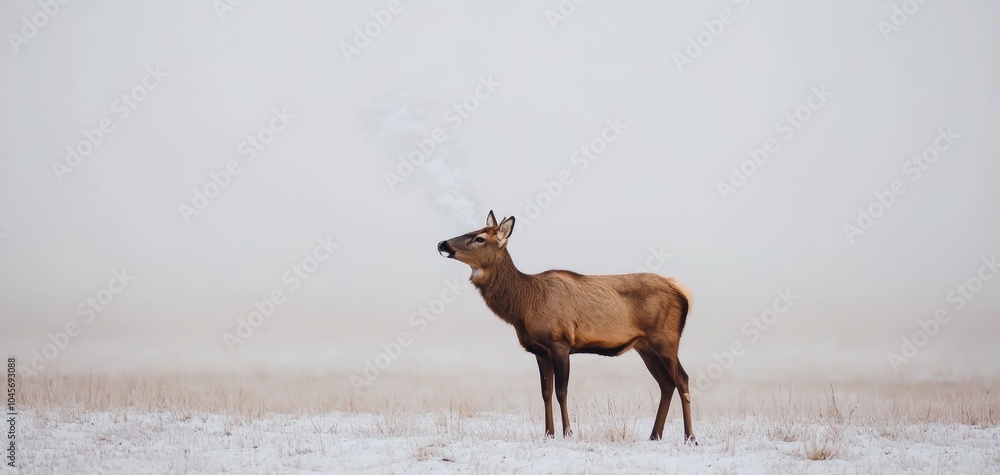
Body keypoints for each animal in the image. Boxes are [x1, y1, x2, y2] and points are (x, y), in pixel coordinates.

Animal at [437, 211, 696, 444]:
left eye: (480, 238)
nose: (442, 243)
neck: (523, 306)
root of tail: (684, 295)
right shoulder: (539, 350)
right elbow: (545, 393)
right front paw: (548, 434)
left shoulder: (560, 342)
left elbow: (562, 392)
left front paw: (568, 433)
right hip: (645, 347)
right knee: (666, 383)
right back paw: (654, 435)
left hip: (666, 338)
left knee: (682, 379)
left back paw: (690, 437)